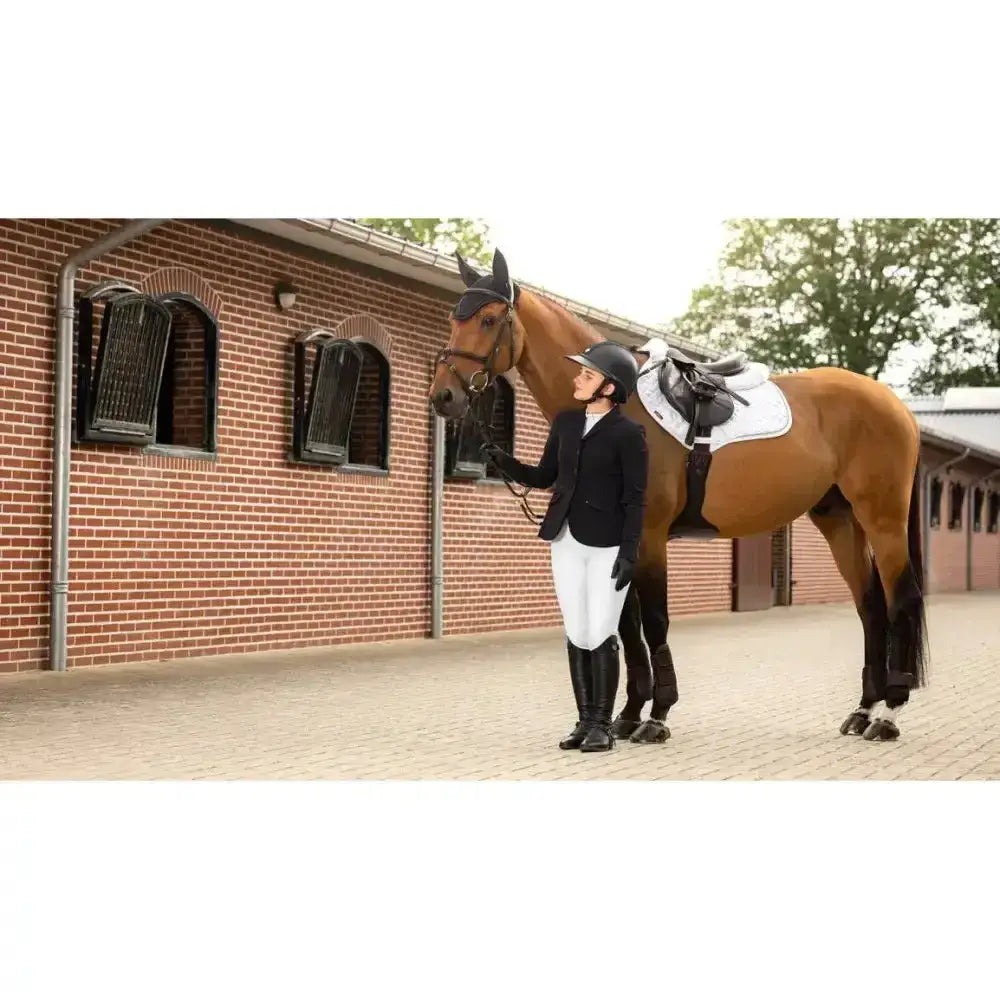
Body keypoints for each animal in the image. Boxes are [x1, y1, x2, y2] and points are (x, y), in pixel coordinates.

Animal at [430, 249, 928, 743]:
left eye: (489, 319)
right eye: (454, 319)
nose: (444, 396)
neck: (620, 407)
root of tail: (896, 406)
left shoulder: (649, 538)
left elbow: (653, 622)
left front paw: (656, 716)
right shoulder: (620, 543)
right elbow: (626, 626)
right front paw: (628, 714)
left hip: (882, 520)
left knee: (901, 600)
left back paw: (889, 715)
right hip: (840, 520)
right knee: (870, 607)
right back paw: (862, 710)